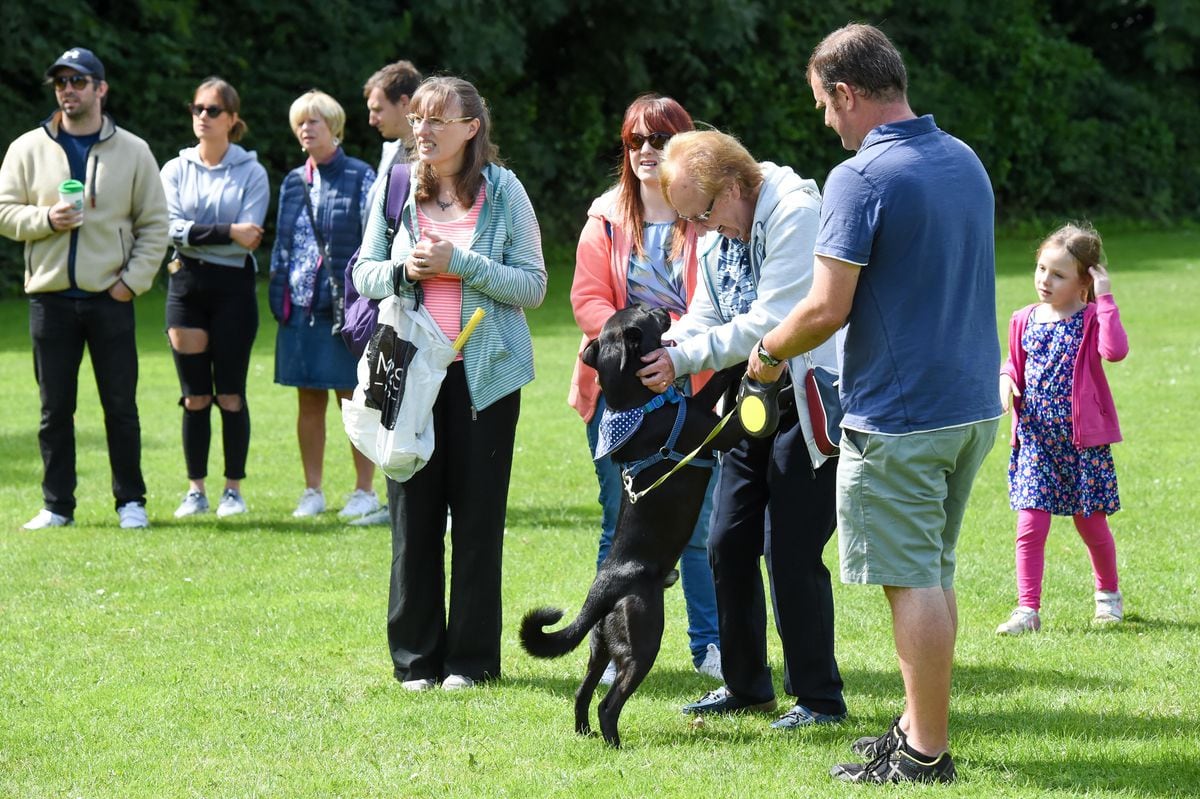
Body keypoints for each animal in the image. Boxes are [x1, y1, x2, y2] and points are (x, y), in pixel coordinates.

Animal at [520, 304, 744, 748]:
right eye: (646, 314)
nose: (665, 310)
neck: (640, 405)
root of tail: (602, 589)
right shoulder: (718, 429)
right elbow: (722, 386)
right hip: (641, 641)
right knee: (609, 703)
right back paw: (615, 744)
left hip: (600, 649)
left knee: (582, 693)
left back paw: (586, 735)